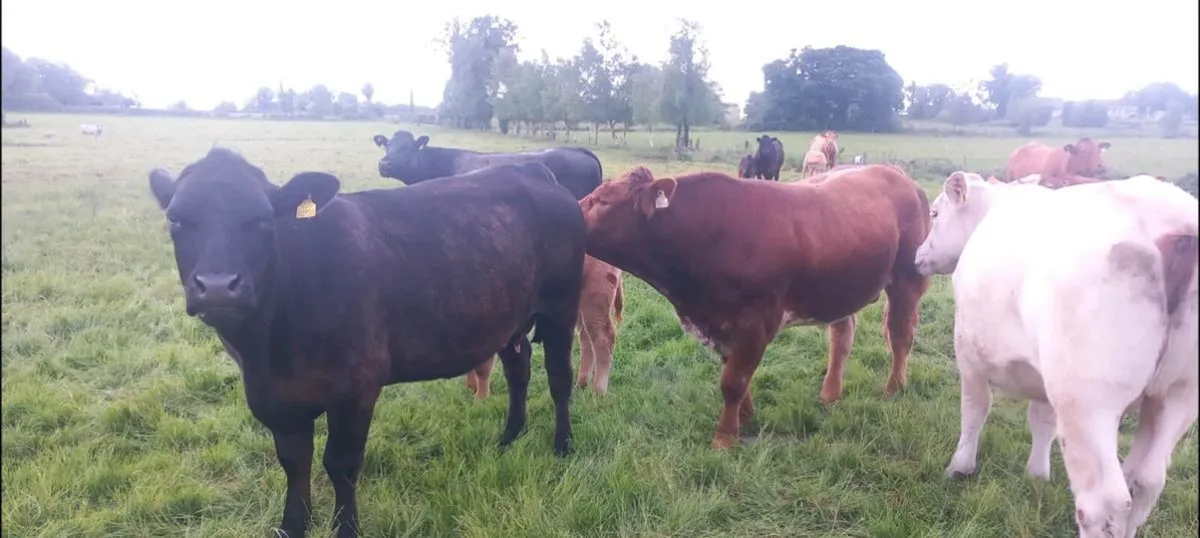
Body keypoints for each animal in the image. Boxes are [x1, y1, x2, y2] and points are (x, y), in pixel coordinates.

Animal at [147, 148, 584, 538]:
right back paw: (510, 435)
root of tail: (532, 169)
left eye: (262, 220)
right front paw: (293, 526)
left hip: (561, 304)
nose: (218, 286)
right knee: (518, 369)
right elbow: (294, 462)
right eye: (176, 219)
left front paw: (346, 529)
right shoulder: (277, 399)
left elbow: (340, 464)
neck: (269, 350)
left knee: (559, 377)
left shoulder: (356, 388)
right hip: (510, 316)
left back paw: (563, 444)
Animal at [578, 165, 932, 449]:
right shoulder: (720, 323)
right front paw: (745, 417)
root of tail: (897, 173)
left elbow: (732, 381)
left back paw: (894, 388)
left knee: (901, 334)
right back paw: (829, 394)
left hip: (908, 279)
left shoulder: (756, 321)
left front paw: (724, 438)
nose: (570, 208)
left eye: (603, 200)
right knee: (843, 336)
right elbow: (734, 374)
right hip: (841, 288)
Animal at [913, 171, 1198, 538]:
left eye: (935, 213)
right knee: (1146, 482)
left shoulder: (968, 350)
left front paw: (960, 466)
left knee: (1104, 501)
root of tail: (1175, 222)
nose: (918, 254)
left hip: (1088, 402)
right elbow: (1042, 421)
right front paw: (1037, 474)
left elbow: (974, 409)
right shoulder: (1044, 376)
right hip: (1177, 397)